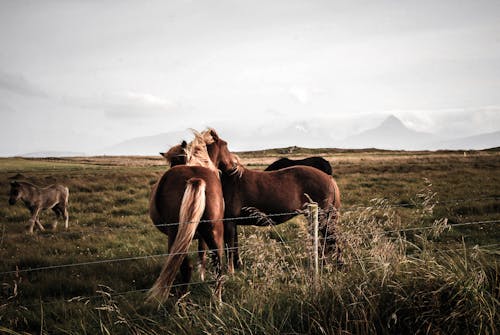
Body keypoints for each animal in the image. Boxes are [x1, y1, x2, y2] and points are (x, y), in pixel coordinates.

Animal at [147, 134, 228, 304]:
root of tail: (195, 178)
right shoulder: (203, 236)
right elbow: (202, 255)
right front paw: (202, 277)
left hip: (175, 235)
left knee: (182, 265)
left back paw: (180, 299)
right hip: (214, 231)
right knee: (217, 263)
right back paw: (217, 300)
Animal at [189, 130, 342, 272]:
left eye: (226, 144)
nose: (234, 166)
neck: (228, 180)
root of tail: (328, 177)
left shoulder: (229, 223)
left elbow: (230, 248)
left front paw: (231, 271)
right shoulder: (232, 223)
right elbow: (235, 247)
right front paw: (238, 267)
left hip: (323, 218)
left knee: (331, 240)